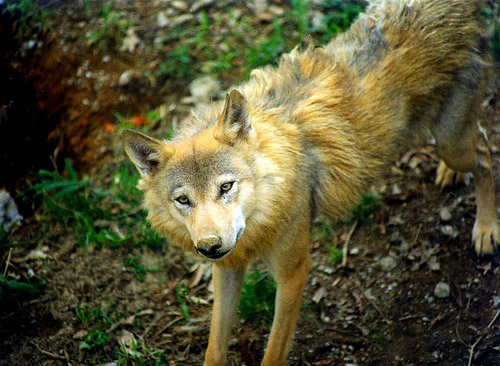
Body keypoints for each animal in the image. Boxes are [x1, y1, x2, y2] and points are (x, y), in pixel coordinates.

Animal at [123, 0, 498, 364]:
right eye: (183, 200)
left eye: (226, 187)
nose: (209, 246)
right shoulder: (228, 266)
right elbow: (214, 348)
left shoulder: (293, 273)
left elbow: (273, 353)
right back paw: (450, 176)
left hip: (451, 142)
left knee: (485, 154)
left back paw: (486, 230)